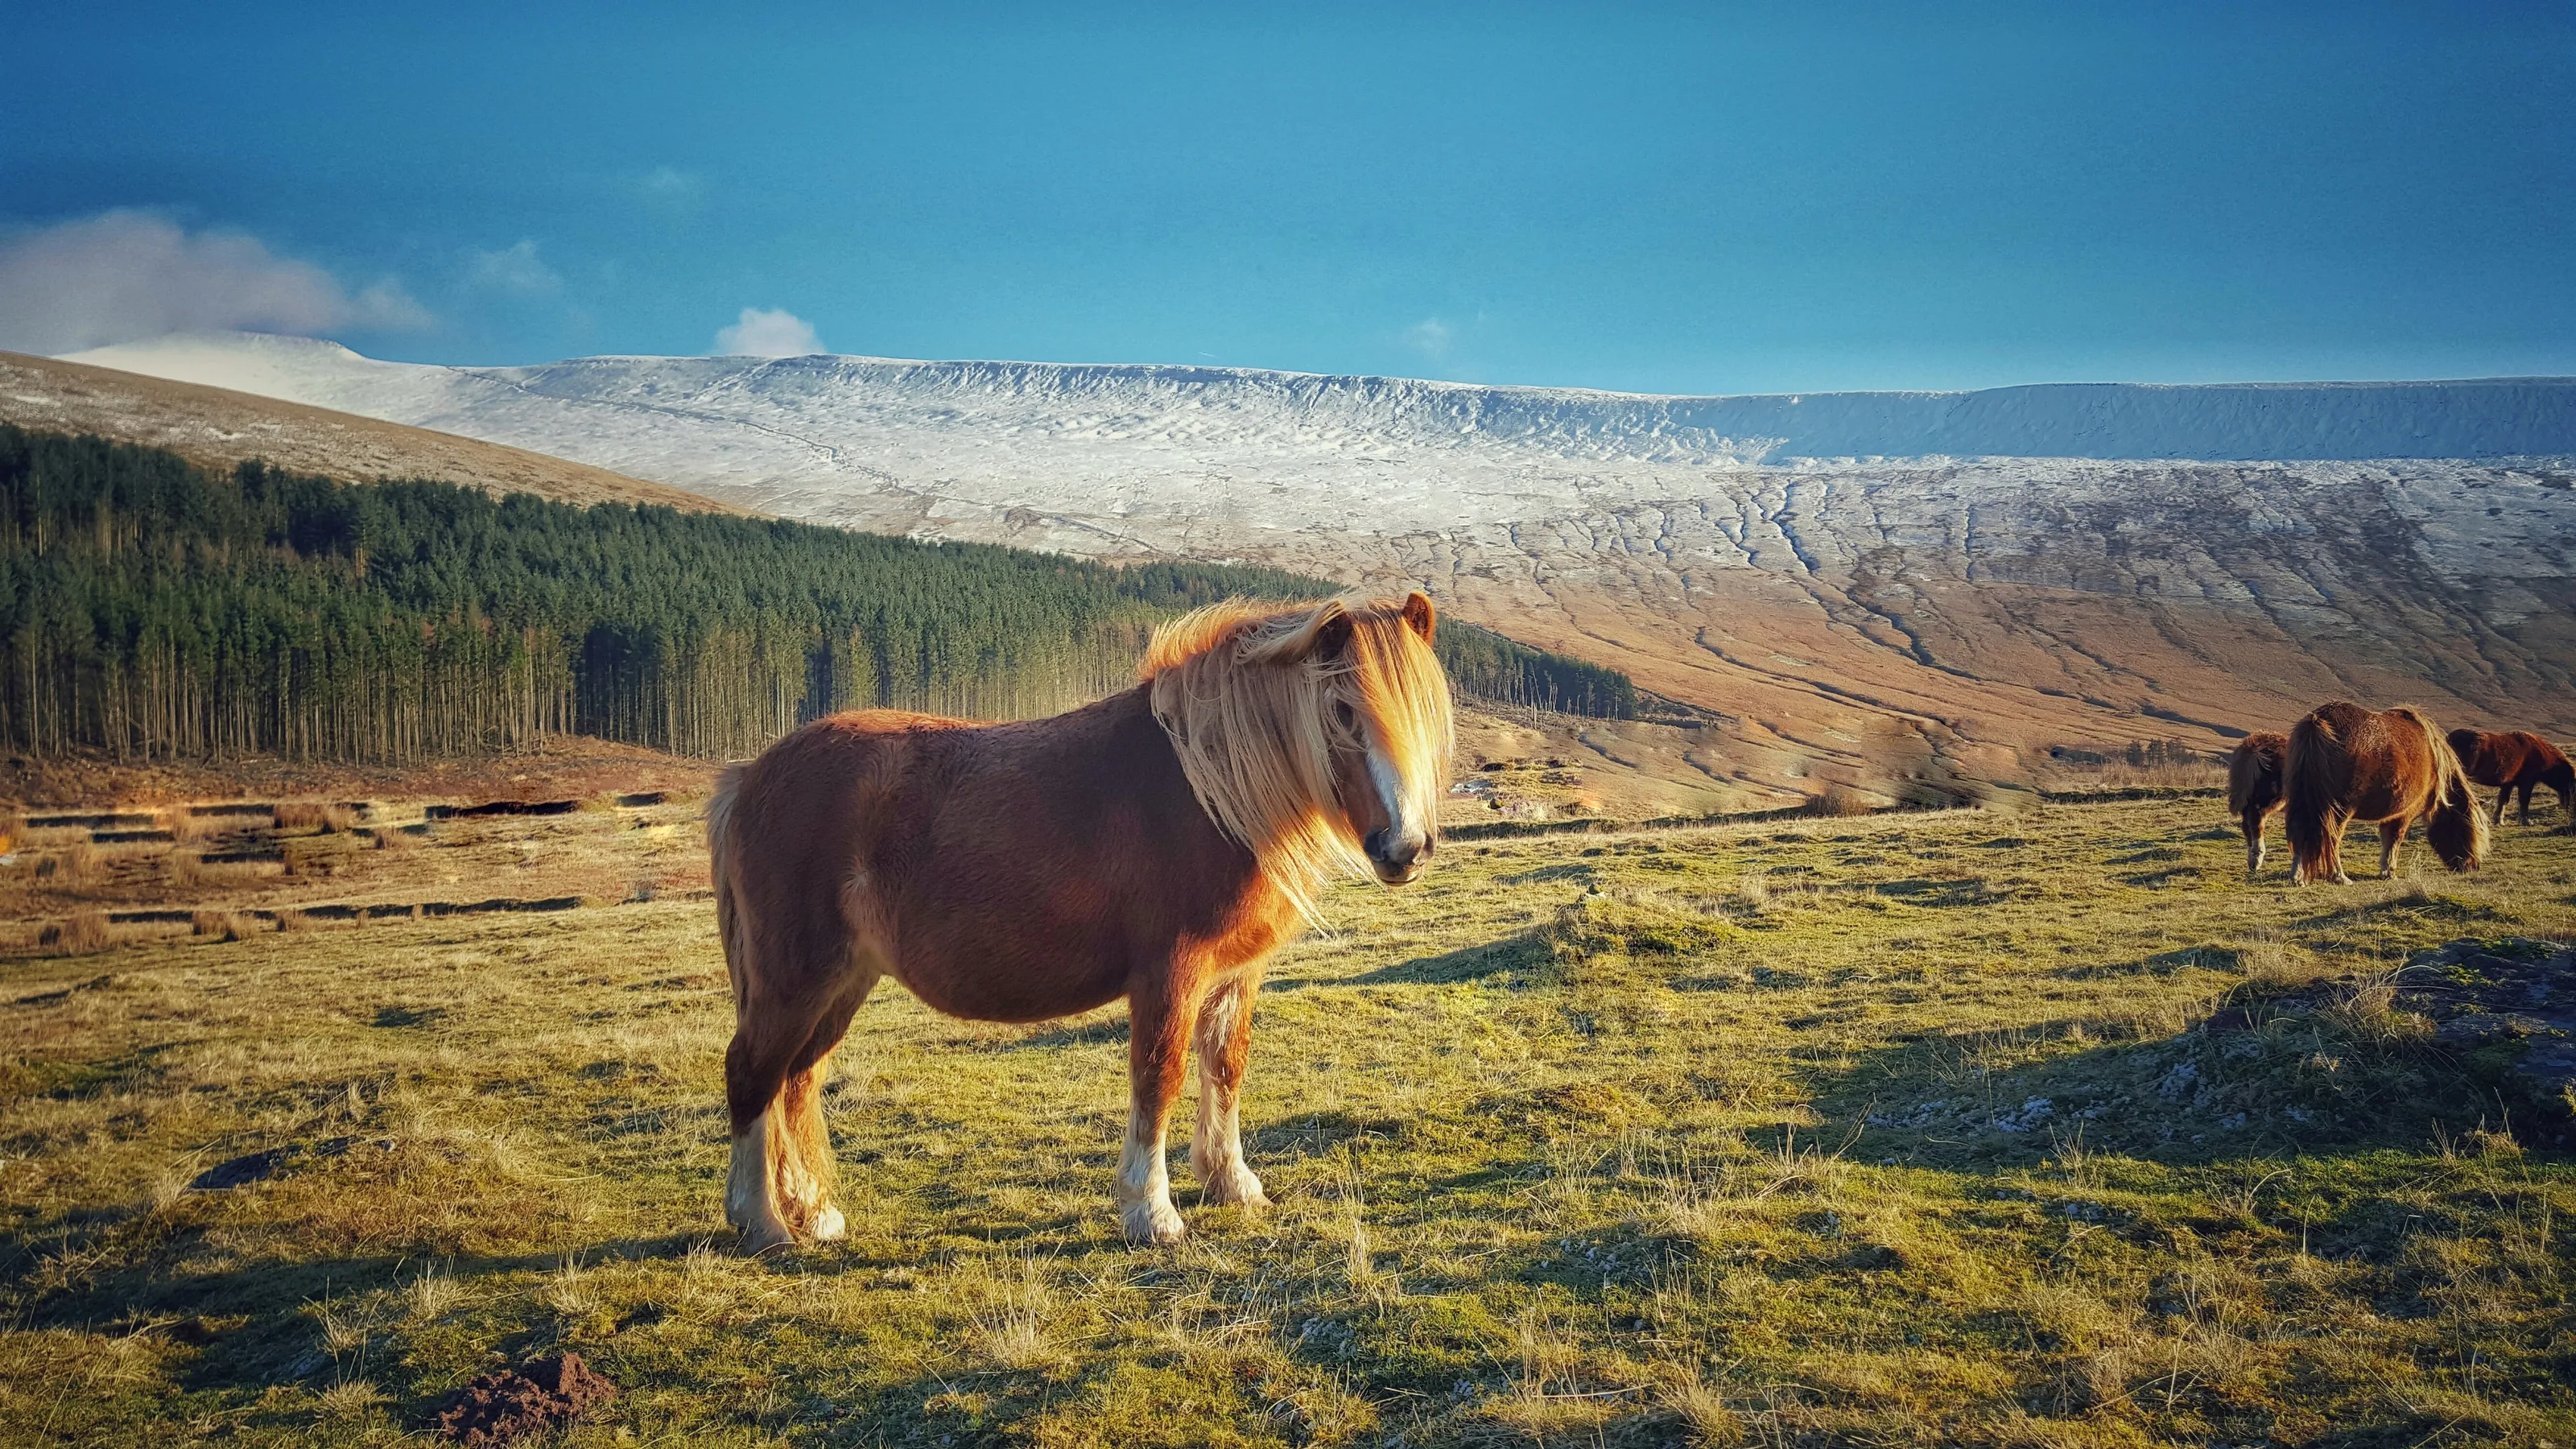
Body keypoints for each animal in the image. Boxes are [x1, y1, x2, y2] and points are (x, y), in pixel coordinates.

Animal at [707, 592, 1454, 1252]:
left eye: (1424, 713)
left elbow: (1226, 1067)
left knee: (797, 1078)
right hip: (795, 977)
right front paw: (1151, 1213)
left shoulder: (1235, 975)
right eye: (1342, 709)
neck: (1210, 791)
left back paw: (815, 1212)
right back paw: (763, 1225)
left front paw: (1232, 1182)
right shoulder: (1170, 973)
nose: (1405, 849)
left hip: (843, 981)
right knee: (752, 1074)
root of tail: (748, 777)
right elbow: (1159, 1076)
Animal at [2284, 701, 2486, 884]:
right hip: (2339, 809)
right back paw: (2339, 876)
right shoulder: (2404, 813)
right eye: (2466, 831)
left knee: (2299, 831)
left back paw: (2297, 877)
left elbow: (2387, 839)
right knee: (2332, 838)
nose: (2472, 867)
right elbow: (2394, 840)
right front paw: (2389, 872)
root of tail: (2318, 720)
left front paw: (2385, 870)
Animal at [2445, 728, 2576, 827]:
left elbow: (2503, 800)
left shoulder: (2508, 783)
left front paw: (2498, 820)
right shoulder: (2527, 783)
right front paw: (2526, 821)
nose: (2569, 808)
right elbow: (2524, 801)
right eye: (2572, 783)